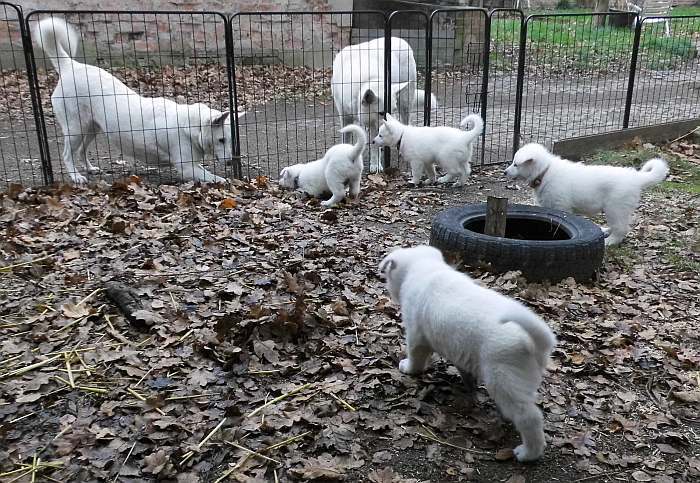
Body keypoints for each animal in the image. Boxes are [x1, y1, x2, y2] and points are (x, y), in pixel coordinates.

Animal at [330, 37, 434, 174]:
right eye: (381, 112)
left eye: (392, 110)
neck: (368, 79)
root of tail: (401, 40)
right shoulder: (346, 116)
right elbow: (346, 138)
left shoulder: (375, 124)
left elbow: (374, 145)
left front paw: (375, 165)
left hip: (405, 103)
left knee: (406, 122)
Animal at [380, 248, 556, 464]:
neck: (425, 268)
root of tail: (535, 342)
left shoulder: (415, 335)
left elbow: (416, 357)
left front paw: (407, 368)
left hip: (503, 379)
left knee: (529, 418)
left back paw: (527, 453)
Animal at [504, 144, 668, 246]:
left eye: (515, 164)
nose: (504, 172)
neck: (545, 172)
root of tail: (636, 177)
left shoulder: (561, 206)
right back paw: (605, 231)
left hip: (615, 208)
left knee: (621, 228)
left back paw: (611, 241)